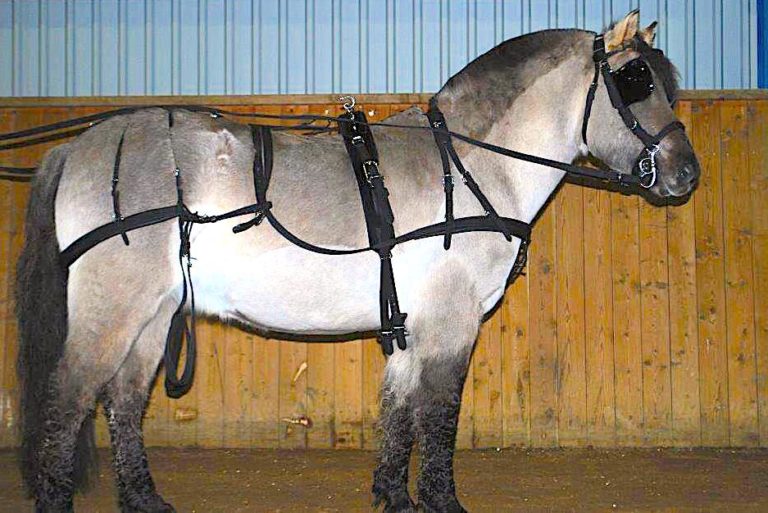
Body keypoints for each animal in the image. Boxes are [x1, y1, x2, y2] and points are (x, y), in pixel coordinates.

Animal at [16, 10, 699, 513]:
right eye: (636, 80)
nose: (687, 174)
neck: (471, 165)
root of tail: (77, 147)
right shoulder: (451, 323)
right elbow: (439, 415)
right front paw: (441, 502)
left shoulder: (409, 326)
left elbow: (397, 414)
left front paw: (393, 498)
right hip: (114, 310)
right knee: (68, 399)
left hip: (155, 315)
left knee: (123, 401)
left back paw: (146, 501)